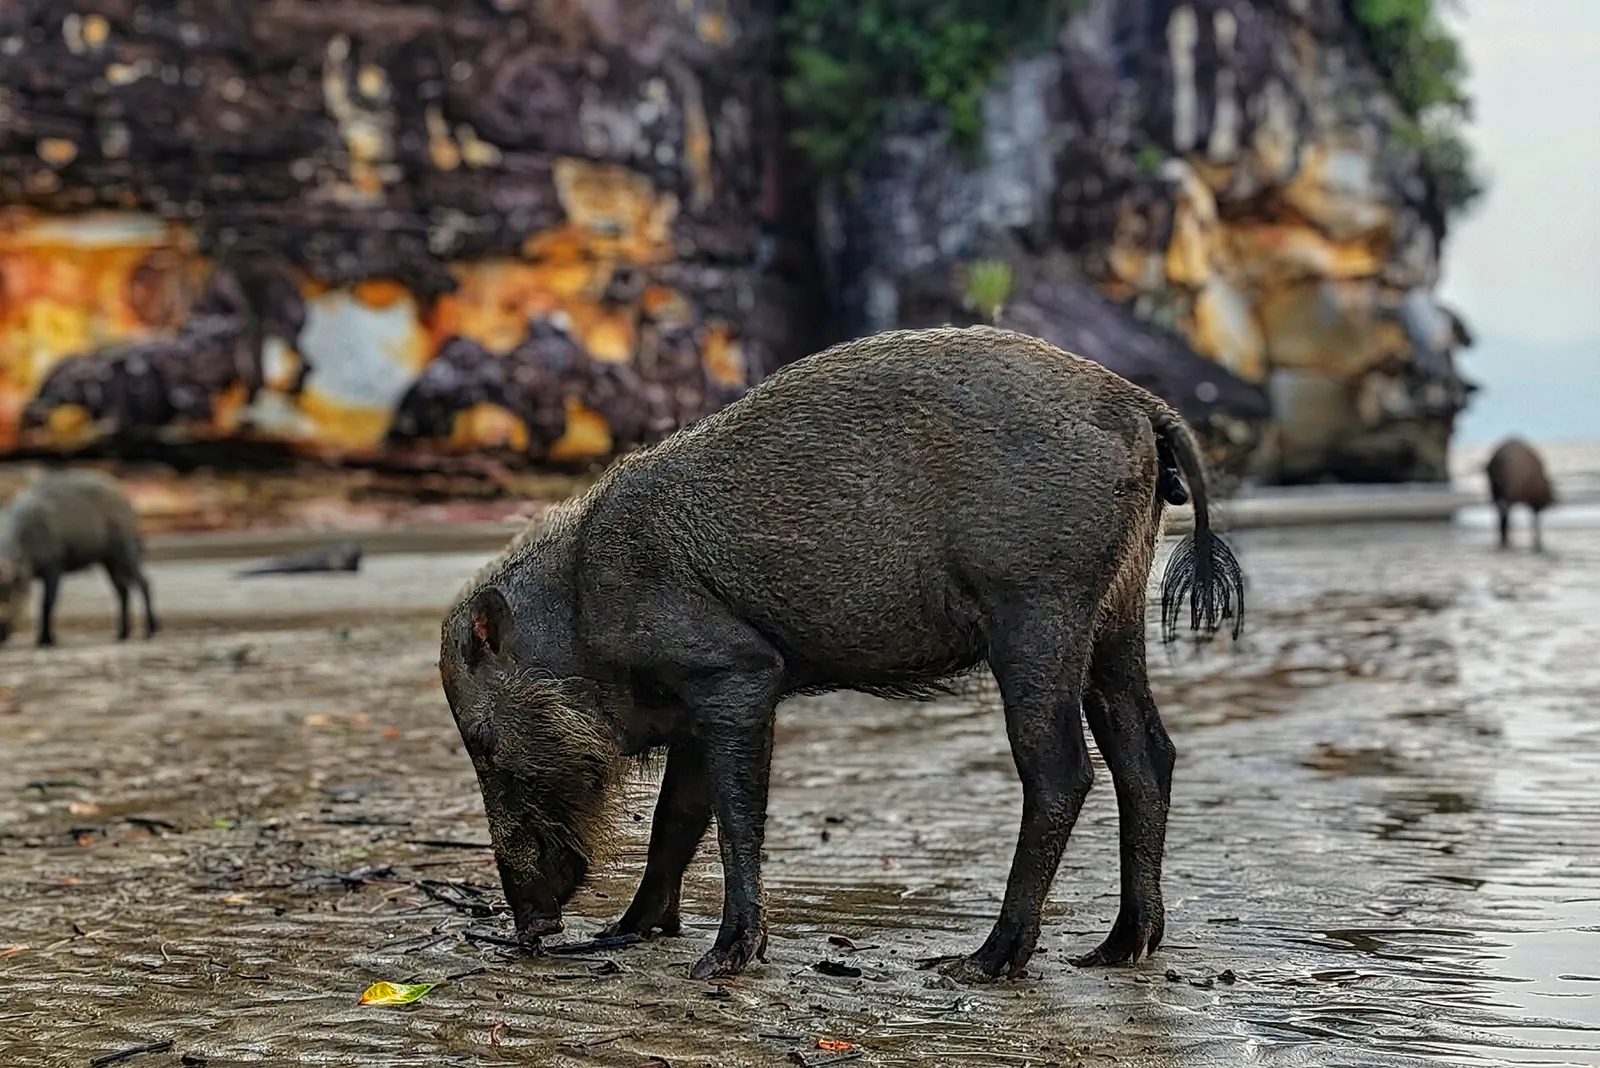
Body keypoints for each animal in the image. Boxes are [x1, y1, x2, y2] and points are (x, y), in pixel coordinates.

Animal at [0, 470, 159, 647]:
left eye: (11, 592)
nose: (2, 635)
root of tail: (124, 497)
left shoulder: (54, 566)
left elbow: (47, 603)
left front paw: (45, 641)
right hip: (109, 559)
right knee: (122, 589)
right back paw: (121, 635)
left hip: (126, 548)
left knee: (143, 583)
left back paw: (149, 632)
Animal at [438, 325, 1245, 983]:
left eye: (481, 742)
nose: (529, 928)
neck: (582, 608)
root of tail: (1138, 401)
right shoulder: (699, 706)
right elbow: (676, 817)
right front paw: (622, 934)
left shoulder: (737, 673)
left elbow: (733, 814)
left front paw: (721, 961)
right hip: (1114, 617)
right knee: (1147, 753)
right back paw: (1117, 949)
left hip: (1037, 610)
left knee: (1062, 770)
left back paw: (978, 964)